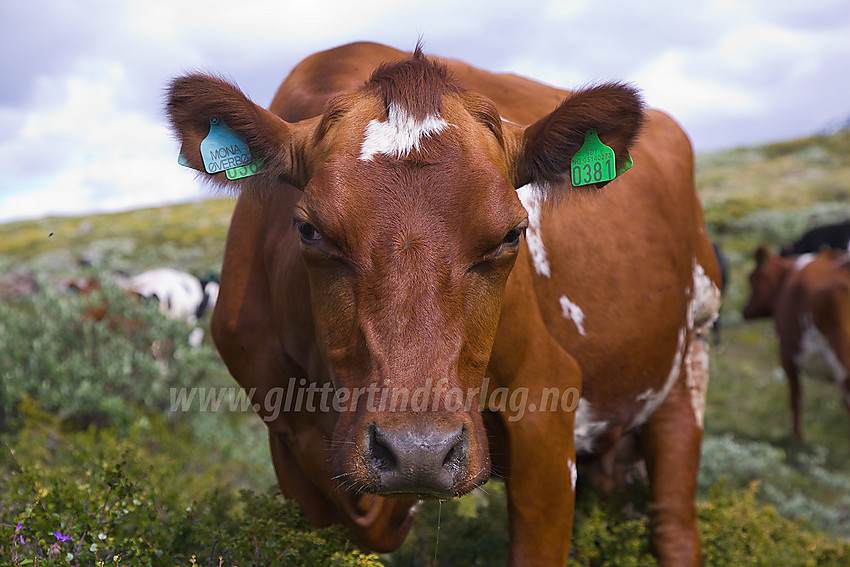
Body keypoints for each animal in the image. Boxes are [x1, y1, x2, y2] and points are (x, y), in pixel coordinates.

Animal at [169, 42, 720, 564]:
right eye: (309, 230)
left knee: (675, 529)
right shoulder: (288, 443)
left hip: (690, 359)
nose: (419, 451)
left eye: (511, 234)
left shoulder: (546, 405)